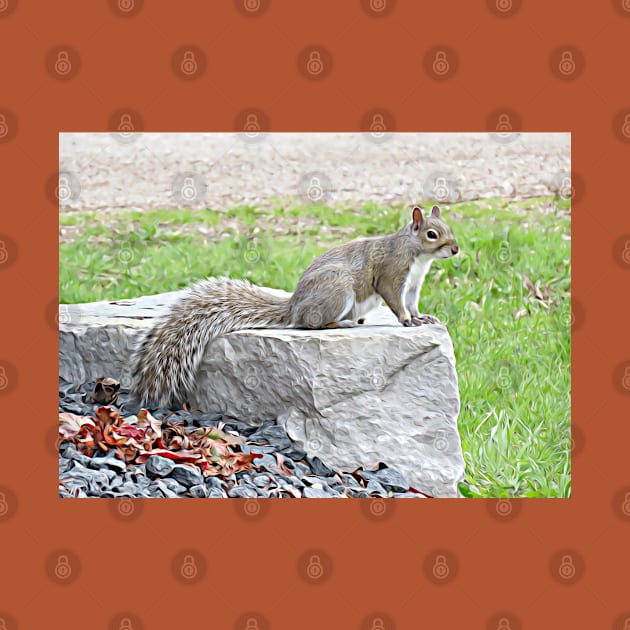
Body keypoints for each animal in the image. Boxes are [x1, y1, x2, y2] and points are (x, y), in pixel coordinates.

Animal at [133, 205, 460, 408]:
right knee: (311, 323)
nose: (456, 249)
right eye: (432, 234)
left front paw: (421, 317)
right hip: (339, 289)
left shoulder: (414, 285)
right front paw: (406, 320)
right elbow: (395, 300)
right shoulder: (392, 276)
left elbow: (413, 304)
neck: (418, 256)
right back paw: (342, 323)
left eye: (448, 227)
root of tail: (293, 307)